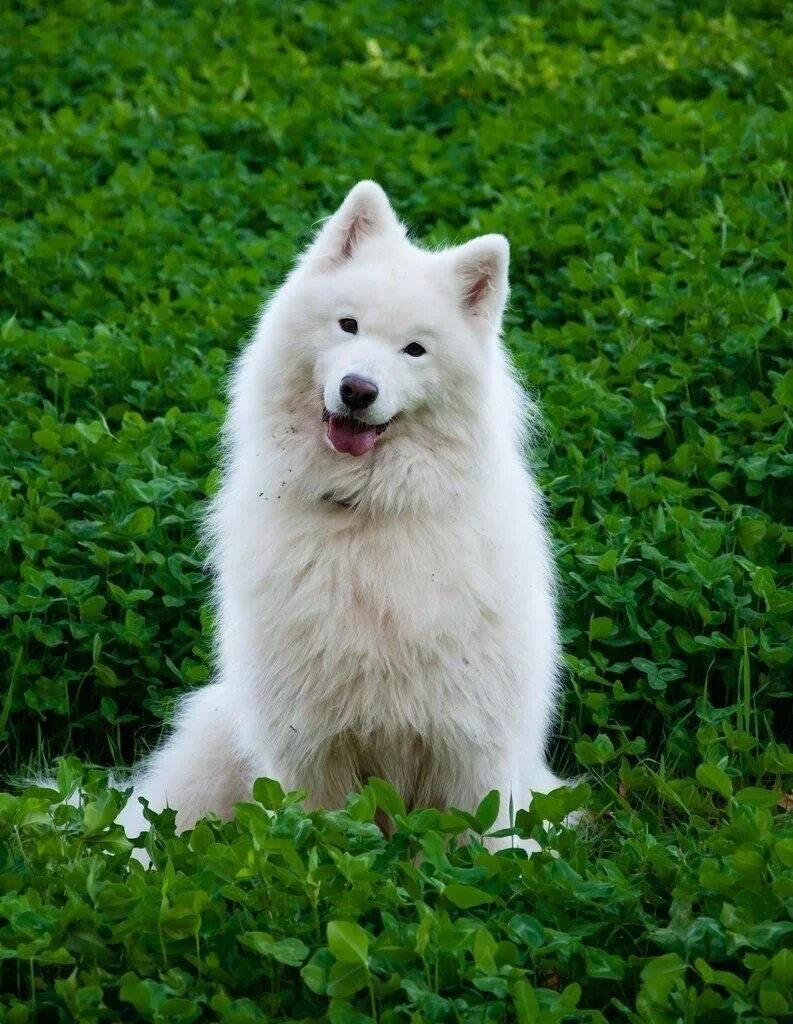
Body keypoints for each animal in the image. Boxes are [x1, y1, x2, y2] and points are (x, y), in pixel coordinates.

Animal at [117, 184, 565, 847]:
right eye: (348, 325)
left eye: (414, 350)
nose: (358, 389)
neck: (365, 514)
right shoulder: (309, 748)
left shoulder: (471, 746)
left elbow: (483, 838)